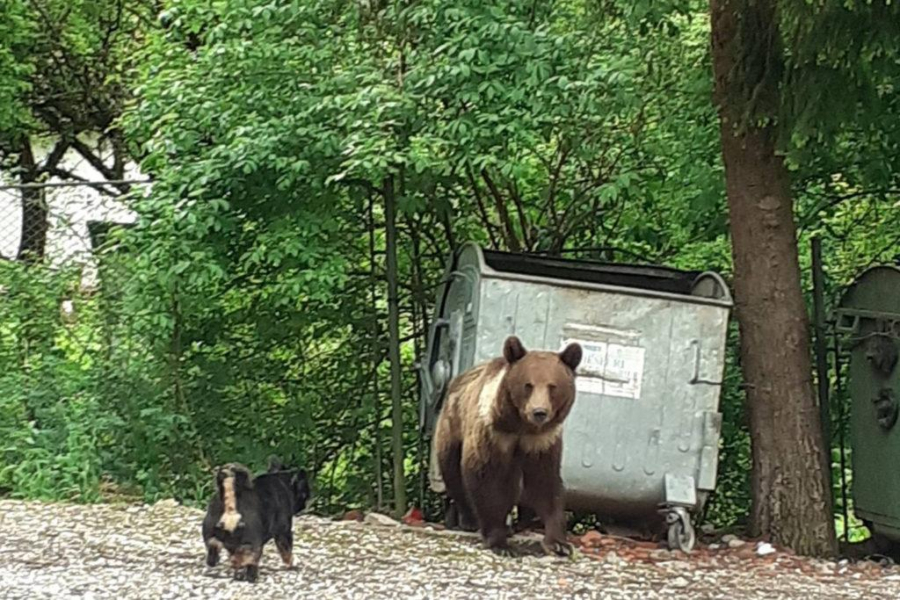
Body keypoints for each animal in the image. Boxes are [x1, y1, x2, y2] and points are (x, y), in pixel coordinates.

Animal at [434, 336, 584, 556]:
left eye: (552, 386)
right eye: (528, 385)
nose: (539, 412)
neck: (520, 427)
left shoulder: (542, 442)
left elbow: (546, 483)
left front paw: (558, 543)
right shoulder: (493, 434)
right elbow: (485, 479)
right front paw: (499, 542)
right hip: (451, 426)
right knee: (452, 472)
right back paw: (469, 520)